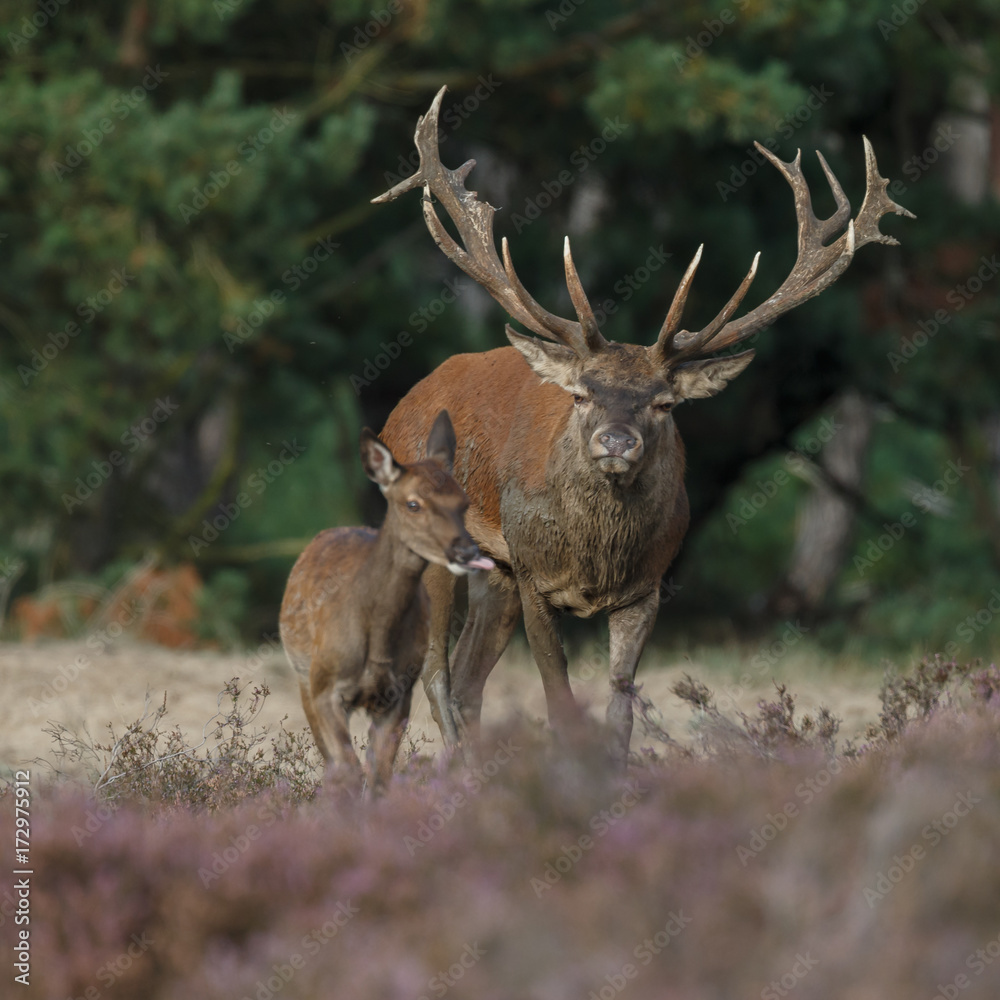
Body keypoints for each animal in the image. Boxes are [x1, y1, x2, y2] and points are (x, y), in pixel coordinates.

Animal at [279, 409, 494, 795]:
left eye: (464, 502)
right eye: (413, 503)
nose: (467, 551)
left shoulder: (398, 695)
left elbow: (379, 776)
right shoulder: (325, 687)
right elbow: (347, 768)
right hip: (303, 674)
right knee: (332, 762)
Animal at [371, 87, 914, 766]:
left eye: (663, 403)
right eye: (580, 394)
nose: (616, 441)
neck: (595, 560)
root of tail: (401, 407)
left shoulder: (646, 586)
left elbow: (620, 704)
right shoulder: (534, 574)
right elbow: (557, 697)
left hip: (494, 572)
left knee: (467, 680)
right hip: (434, 543)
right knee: (434, 674)